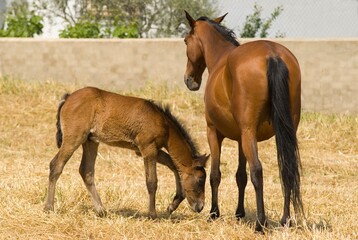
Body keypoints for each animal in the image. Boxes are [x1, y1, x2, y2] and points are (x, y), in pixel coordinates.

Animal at [44, 86, 210, 219]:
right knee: (56, 165)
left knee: (86, 171)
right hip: (74, 138)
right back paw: (49, 208)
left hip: (90, 141)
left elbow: (174, 165)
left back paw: (101, 210)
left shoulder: (145, 150)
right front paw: (152, 214)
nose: (200, 206)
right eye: (201, 179)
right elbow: (152, 182)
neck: (165, 124)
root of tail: (68, 97)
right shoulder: (148, 148)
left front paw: (172, 205)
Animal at [183, 12, 304, 232]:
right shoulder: (241, 139)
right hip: (282, 133)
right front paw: (239, 213)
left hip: (248, 134)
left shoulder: (213, 132)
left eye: (186, 41)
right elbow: (241, 176)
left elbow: (215, 174)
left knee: (257, 170)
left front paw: (214, 213)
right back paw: (285, 220)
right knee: (286, 169)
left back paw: (260, 223)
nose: (190, 80)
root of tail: (272, 54)